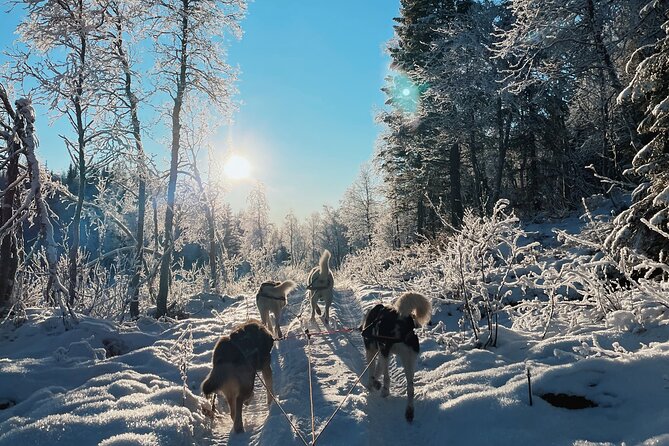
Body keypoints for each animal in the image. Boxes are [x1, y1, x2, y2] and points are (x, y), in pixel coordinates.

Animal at [362, 290, 430, 424]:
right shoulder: (383, 353)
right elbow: (378, 369)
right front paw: (374, 383)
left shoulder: (373, 350)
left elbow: (373, 370)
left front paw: (372, 384)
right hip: (408, 358)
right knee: (410, 388)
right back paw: (409, 412)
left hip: (386, 350)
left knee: (387, 377)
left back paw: (384, 390)